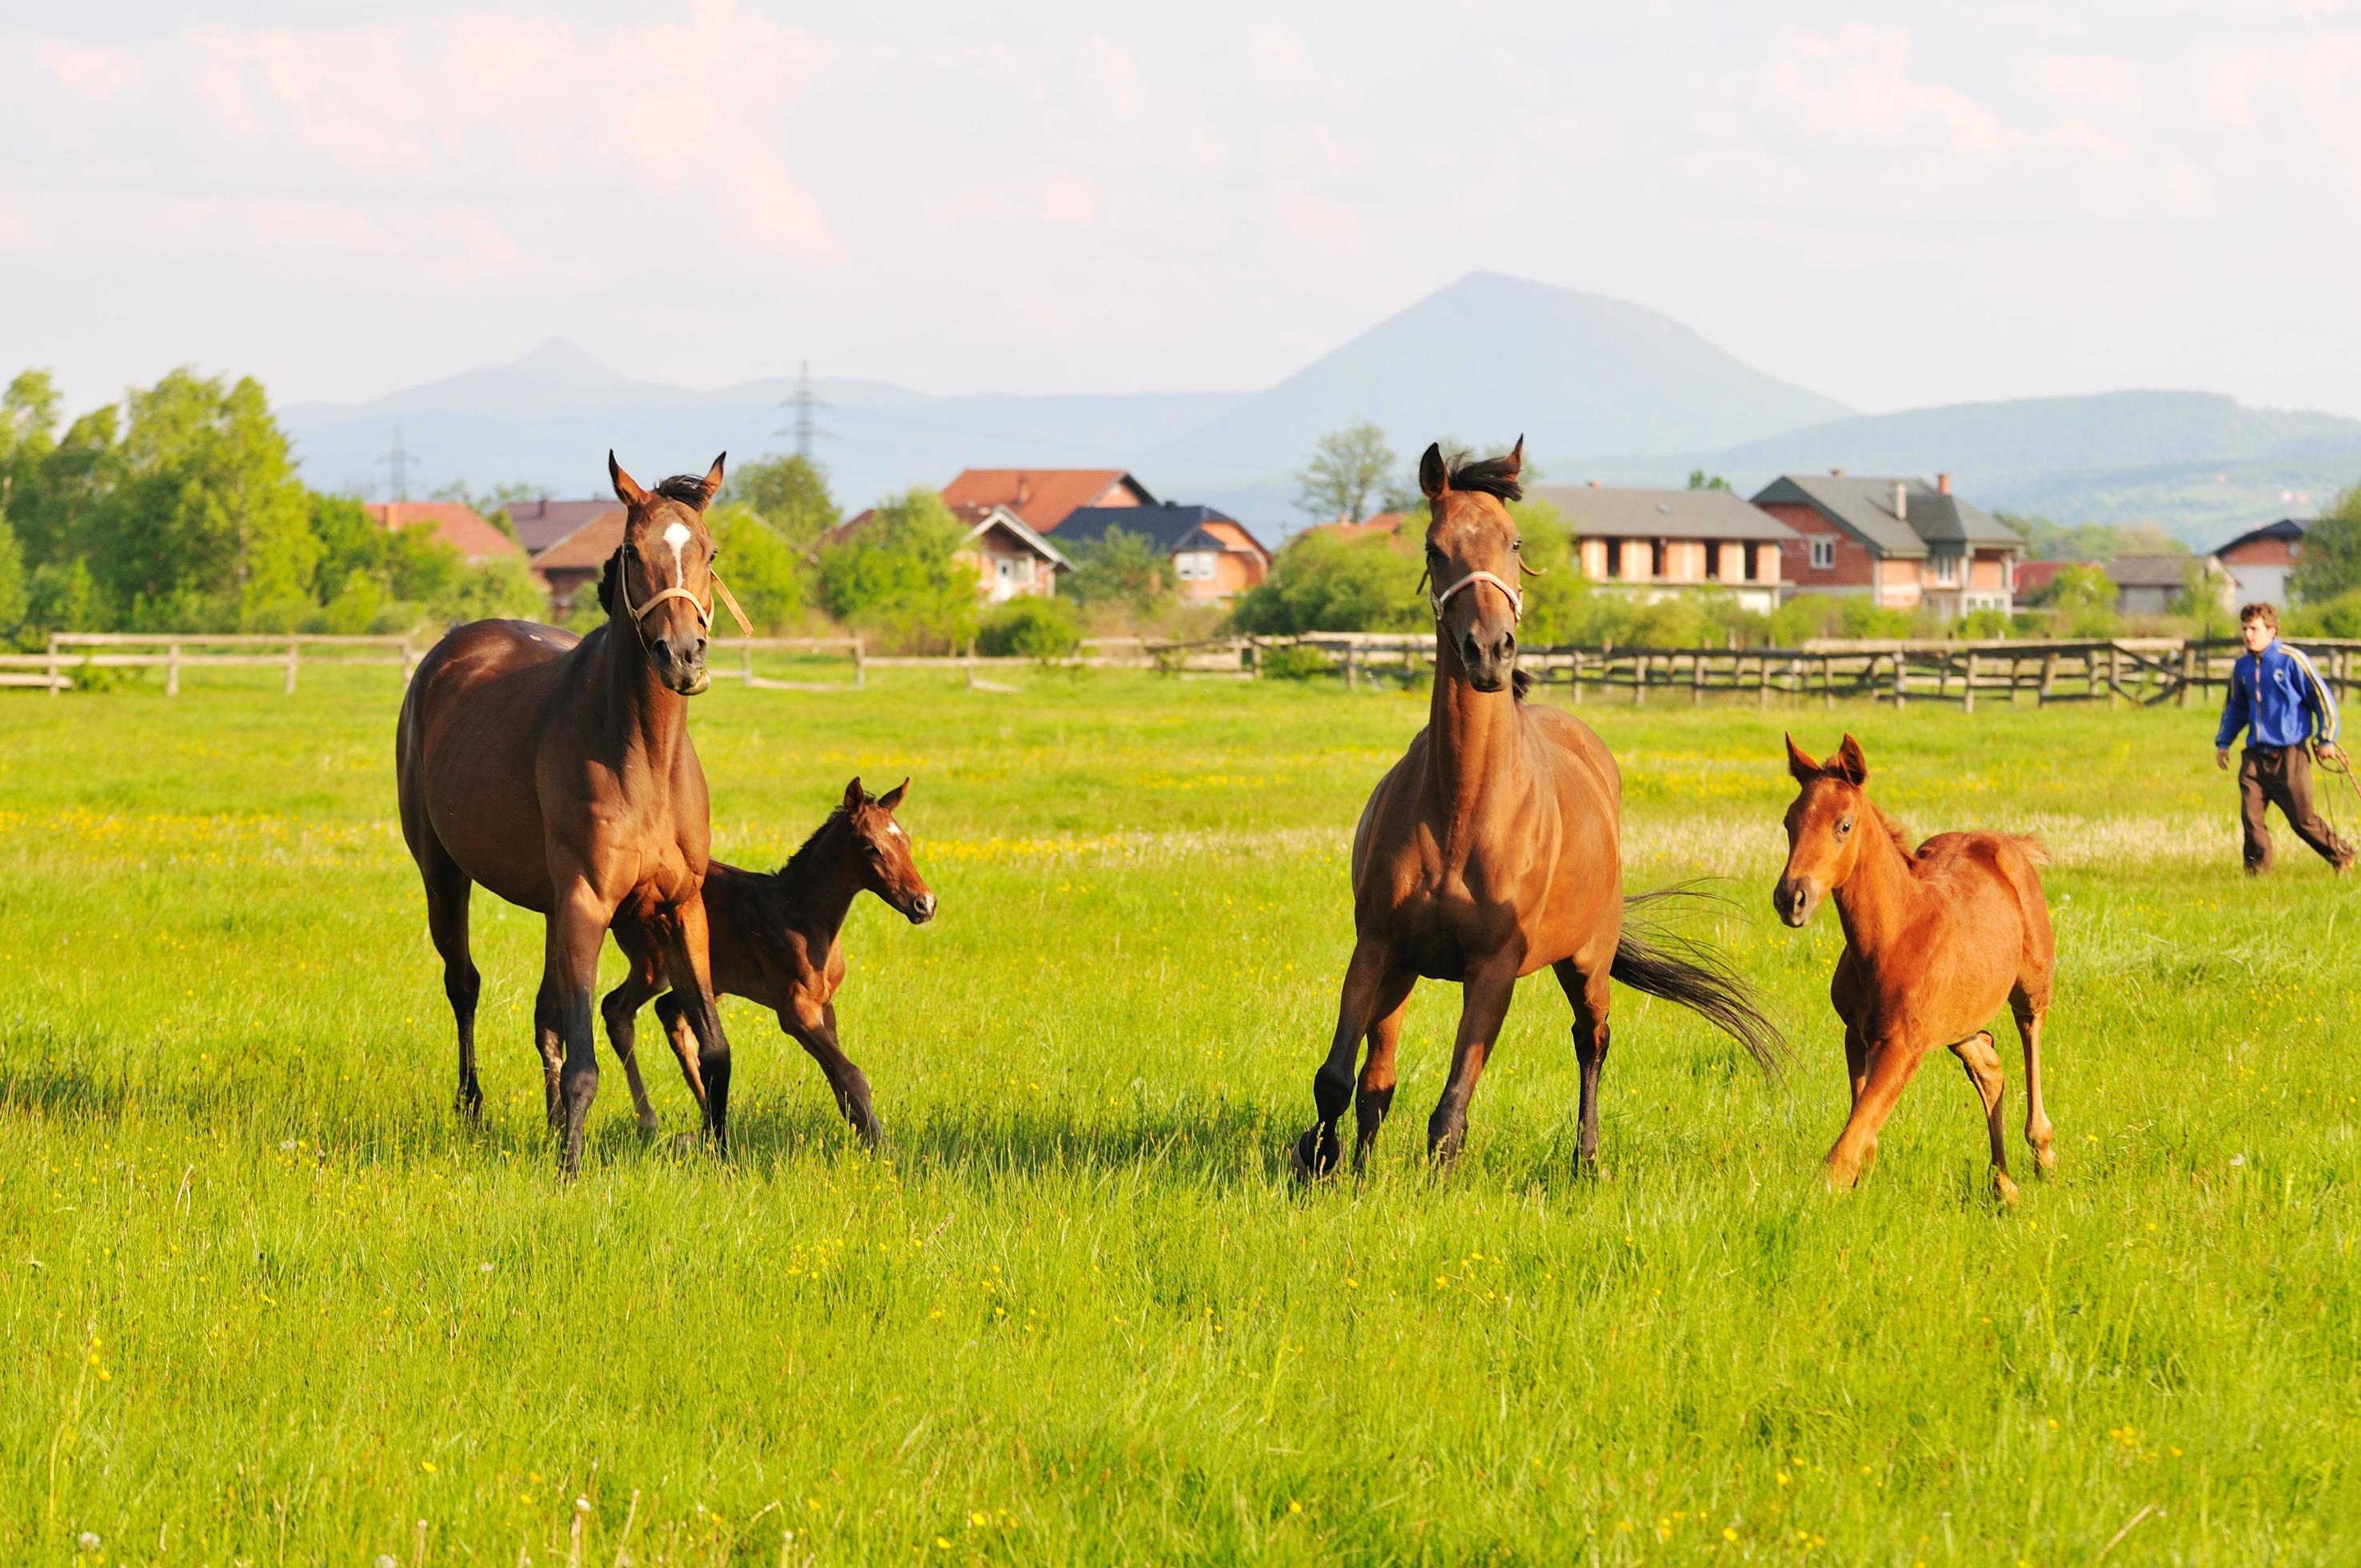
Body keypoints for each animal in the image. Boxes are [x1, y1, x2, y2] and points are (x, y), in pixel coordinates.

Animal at [396, 446, 746, 1171]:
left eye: (709, 550)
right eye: (634, 550)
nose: (682, 655)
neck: (642, 756)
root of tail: (448, 650)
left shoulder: (682, 906)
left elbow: (715, 1047)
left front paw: (723, 1158)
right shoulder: (587, 901)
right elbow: (586, 1061)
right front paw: (569, 1172)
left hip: (553, 908)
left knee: (544, 1014)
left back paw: (553, 1122)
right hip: (445, 876)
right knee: (464, 984)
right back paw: (474, 1108)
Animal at [599, 779, 930, 1147]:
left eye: (906, 841)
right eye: (871, 847)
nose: (924, 904)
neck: (801, 914)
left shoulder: (824, 1006)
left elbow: (840, 1078)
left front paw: (864, 1136)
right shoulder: (795, 1011)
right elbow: (850, 1073)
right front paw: (882, 1145)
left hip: (708, 978)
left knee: (669, 1012)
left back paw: (707, 1119)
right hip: (652, 966)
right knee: (616, 1009)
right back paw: (650, 1121)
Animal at [1294, 441, 1784, 1176]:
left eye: (1514, 541)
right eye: (1435, 547)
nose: (1489, 651)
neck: (1461, 807)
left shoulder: (1493, 971)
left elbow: (1449, 1112)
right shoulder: (1378, 945)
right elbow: (1338, 1079)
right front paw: (1324, 1165)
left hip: (1586, 962)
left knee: (1591, 1040)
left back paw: (1585, 1159)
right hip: (1406, 969)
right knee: (1378, 1079)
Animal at [1775, 736, 2059, 1199]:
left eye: (1844, 825)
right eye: (1788, 822)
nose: (1791, 898)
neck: (1895, 936)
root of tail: (2007, 842)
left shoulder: (1903, 1047)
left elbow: (1845, 1150)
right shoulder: (1857, 1035)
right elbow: (1863, 1136)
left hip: (2030, 988)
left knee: (2029, 1031)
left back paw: (2042, 1157)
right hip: (1960, 1019)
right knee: (1988, 1067)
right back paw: (2003, 1187)